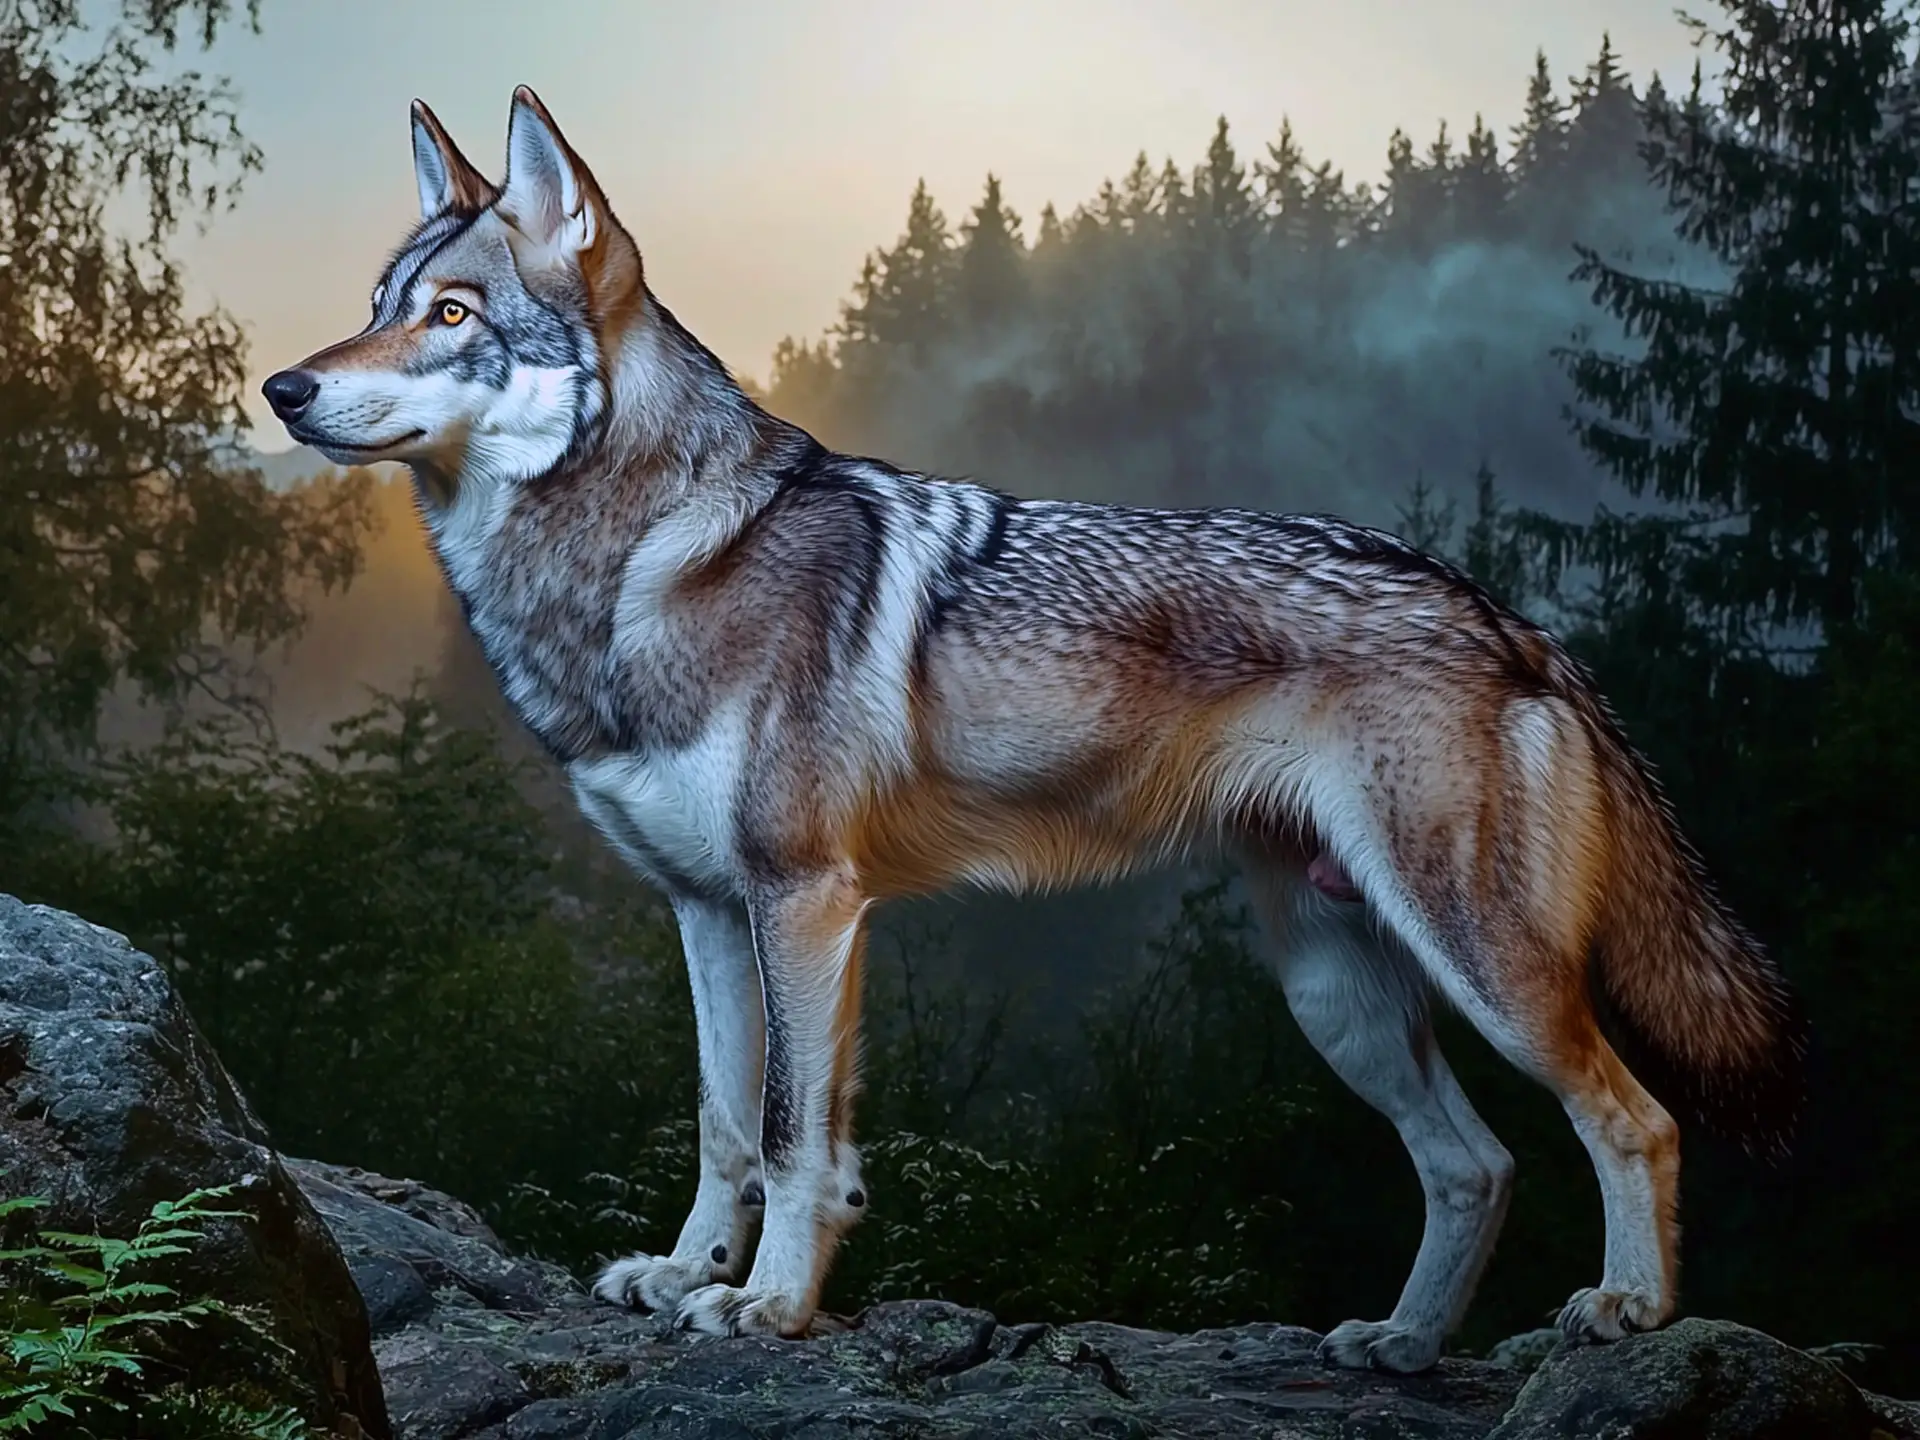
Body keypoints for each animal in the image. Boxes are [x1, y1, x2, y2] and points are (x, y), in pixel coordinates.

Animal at [263, 90, 1804, 1374]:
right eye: (377, 304)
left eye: (453, 315)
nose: (283, 389)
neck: (636, 564)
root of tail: (1509, 615)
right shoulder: (705, 910)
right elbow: (720, 1121)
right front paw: (689, 1273)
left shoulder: (807, 904)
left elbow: (796, 1136)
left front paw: (771, 1306)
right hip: (1336, 994)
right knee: (1475, 1165)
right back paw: (1401, 1346)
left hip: (1482, 969)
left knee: (1636, 1119)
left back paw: (1628, 1309)